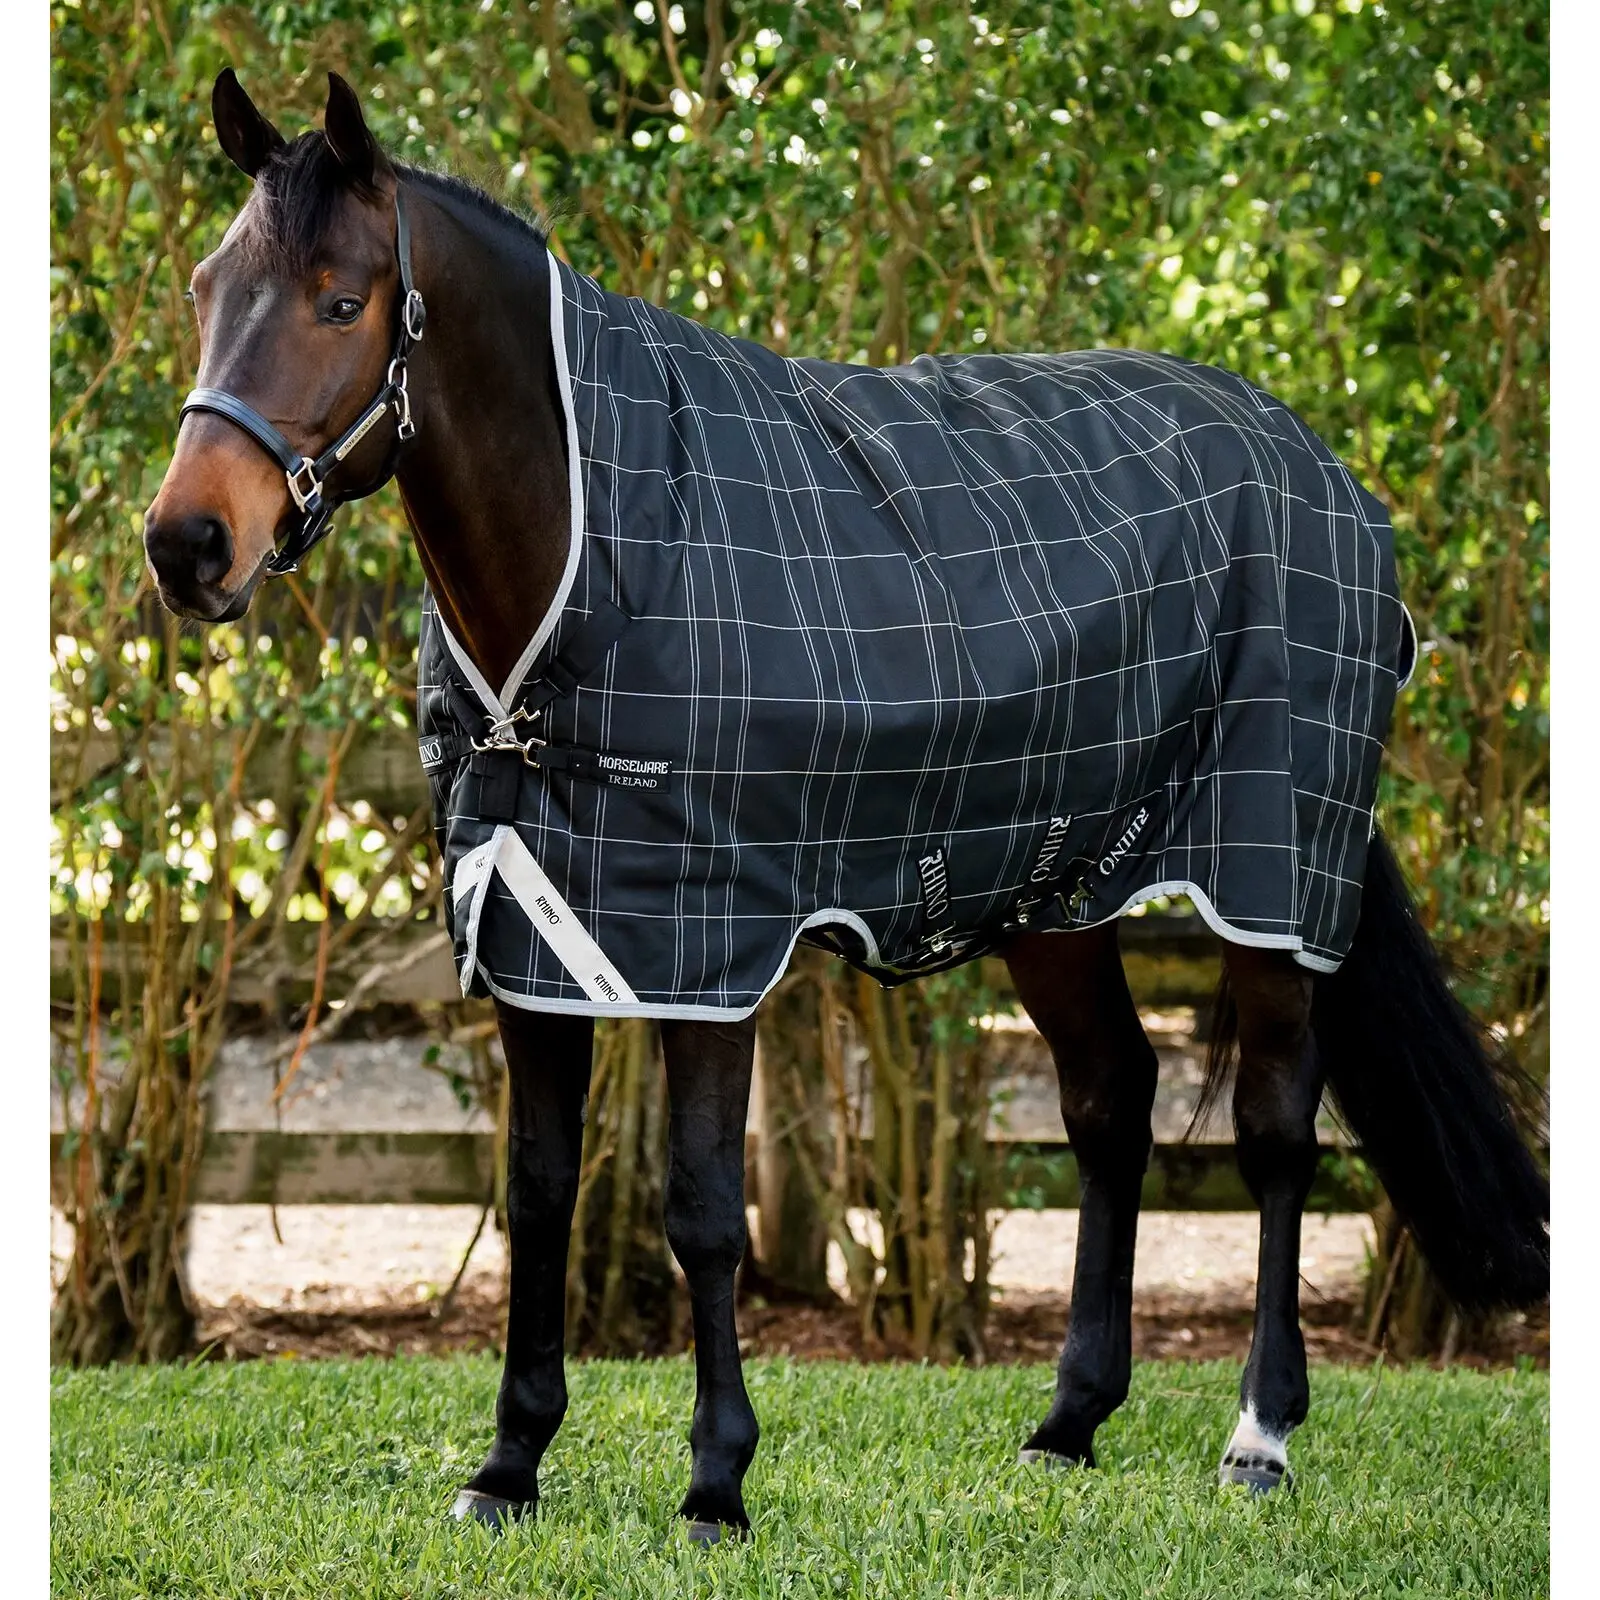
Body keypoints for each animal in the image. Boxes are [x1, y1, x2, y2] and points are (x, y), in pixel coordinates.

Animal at [143, 70, 1549, 1542]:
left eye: (340, 300)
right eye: (205, 288)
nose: (187, 545)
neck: (595, 548)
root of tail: (1324, 474)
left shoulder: (711, 951)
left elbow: (704, 1209)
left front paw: (715, 1483)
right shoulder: (533, 931)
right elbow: (538, 1193)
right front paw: (510, 1465)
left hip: (1271, 882)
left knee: (1277, 1136)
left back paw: (1259, 1437)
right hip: (1056, 884)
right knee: (1111, 1102)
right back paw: (1068, 1422)